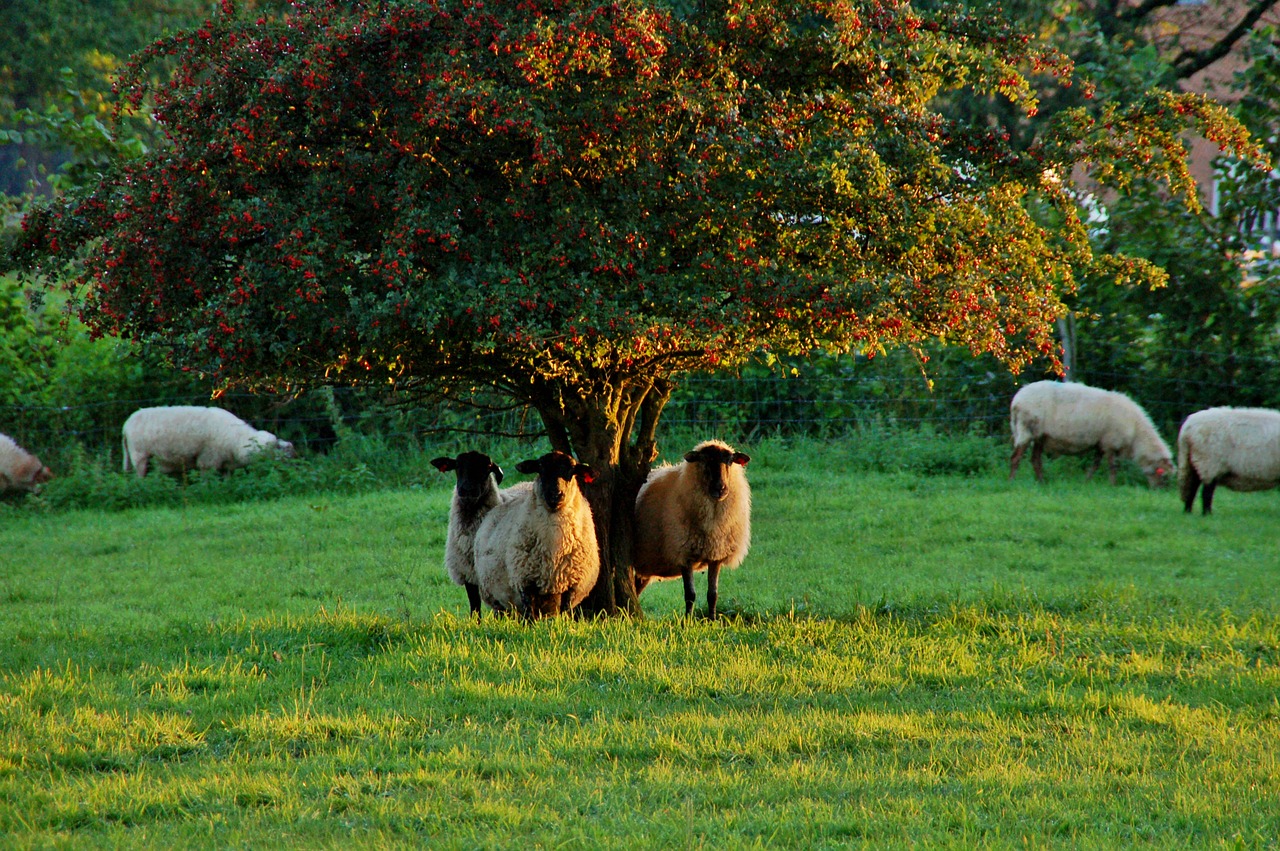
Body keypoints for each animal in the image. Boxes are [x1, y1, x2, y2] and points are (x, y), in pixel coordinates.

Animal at [120, 404, 295, 478]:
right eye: (277, 449)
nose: (293, 465)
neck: (237, 440)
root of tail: (126, 425)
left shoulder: (226, 465)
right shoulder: (208, 461)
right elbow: (206, 482)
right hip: (140, 456)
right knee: (140, 479)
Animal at [471, 450, 599, 616]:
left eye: (572, 471)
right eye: (540, 468)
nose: (555, 495)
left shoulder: (572, 584)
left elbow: (565, 614)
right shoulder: (525, 581)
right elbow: (530, 616)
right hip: (497, 599)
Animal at [629, 437, 747, 616]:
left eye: (730, 461)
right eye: (704, 461)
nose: (720, 488)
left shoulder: (716, 555)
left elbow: (713, 594)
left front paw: (712, 619)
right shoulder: (683, 554)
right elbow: (690, 594)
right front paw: (687, 620)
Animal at [1003, 381, 1172, 488]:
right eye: (1162, 474)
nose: (1158, 491)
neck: (1136, 434)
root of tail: (1016, 400)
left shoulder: (1101, 443)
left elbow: (1095, 465)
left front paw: (1086, 482)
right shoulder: (1111, 442)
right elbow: (1113, 466)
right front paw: (1112, 485)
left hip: (1040, 436)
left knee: (1035, 460)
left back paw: (1041, 482)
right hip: (1026, 429)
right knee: (1016, 458)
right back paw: (1011, 481)